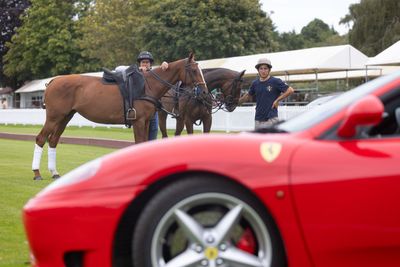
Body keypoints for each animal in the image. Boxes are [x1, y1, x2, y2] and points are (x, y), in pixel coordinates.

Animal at [31, 52, 206, 180]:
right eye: (194, 70)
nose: (204, 92)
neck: (148, 86)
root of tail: (52, 82)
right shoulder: (138, 121)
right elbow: (139, 143)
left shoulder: (146, 122)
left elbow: (143, 143)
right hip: (54, 117)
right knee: (41, 138)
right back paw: (37, 173)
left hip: (65, 117)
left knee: (53, 140)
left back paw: (54, 172)